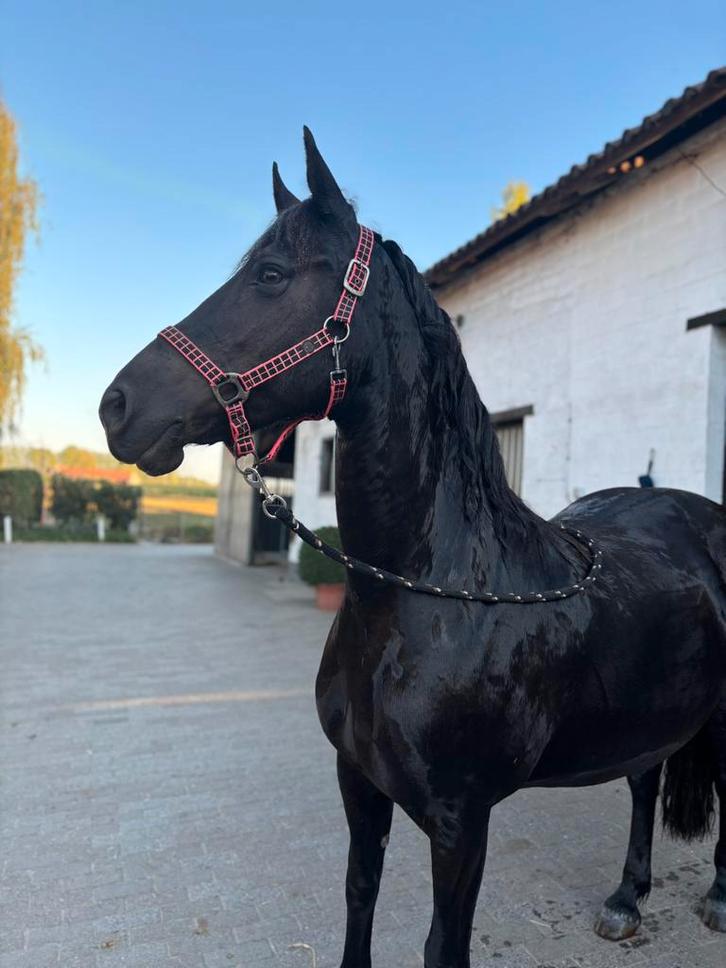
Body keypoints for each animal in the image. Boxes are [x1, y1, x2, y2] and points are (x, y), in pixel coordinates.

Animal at [100, 128, 726, 968]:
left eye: (271, 275)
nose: (118, 406)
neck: (438, 593)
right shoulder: (358, 781)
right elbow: (358, 895)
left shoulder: (461, 823)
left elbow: (442, 944)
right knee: (642, 782)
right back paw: (626, 898)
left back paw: (716, 896)